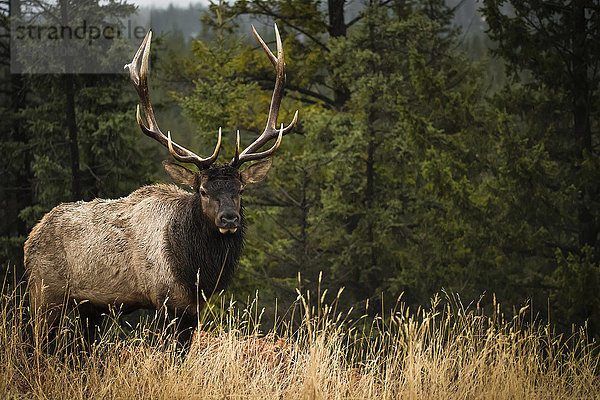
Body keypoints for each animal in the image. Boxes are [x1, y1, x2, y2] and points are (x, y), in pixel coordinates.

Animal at [25, 23, 298, 340]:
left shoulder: (193, 308)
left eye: (240, 189)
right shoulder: (165, 300)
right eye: (202, 190)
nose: (229, 218)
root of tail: (30, 240)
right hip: (45, 293)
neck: (195, 272)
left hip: (89, 307)